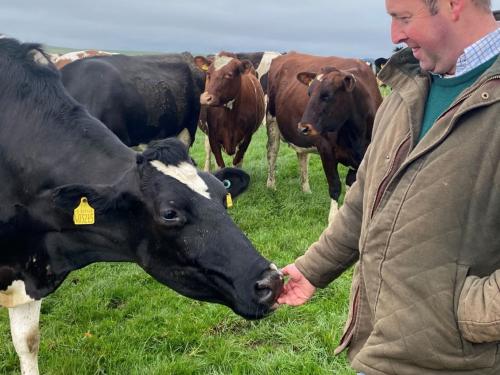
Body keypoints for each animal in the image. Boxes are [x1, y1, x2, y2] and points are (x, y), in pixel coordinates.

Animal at [268, 52, 380, 222]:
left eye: (327, 95)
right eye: (309, 93)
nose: (303, 127)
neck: (356, 135)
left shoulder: (363, 157)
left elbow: (351, 185)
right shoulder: (326, 150)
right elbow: (334, 186)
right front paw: (333, 218)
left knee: (302, 157)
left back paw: (306, 189)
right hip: (272, 122)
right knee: (272, 154)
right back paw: (271, 186)